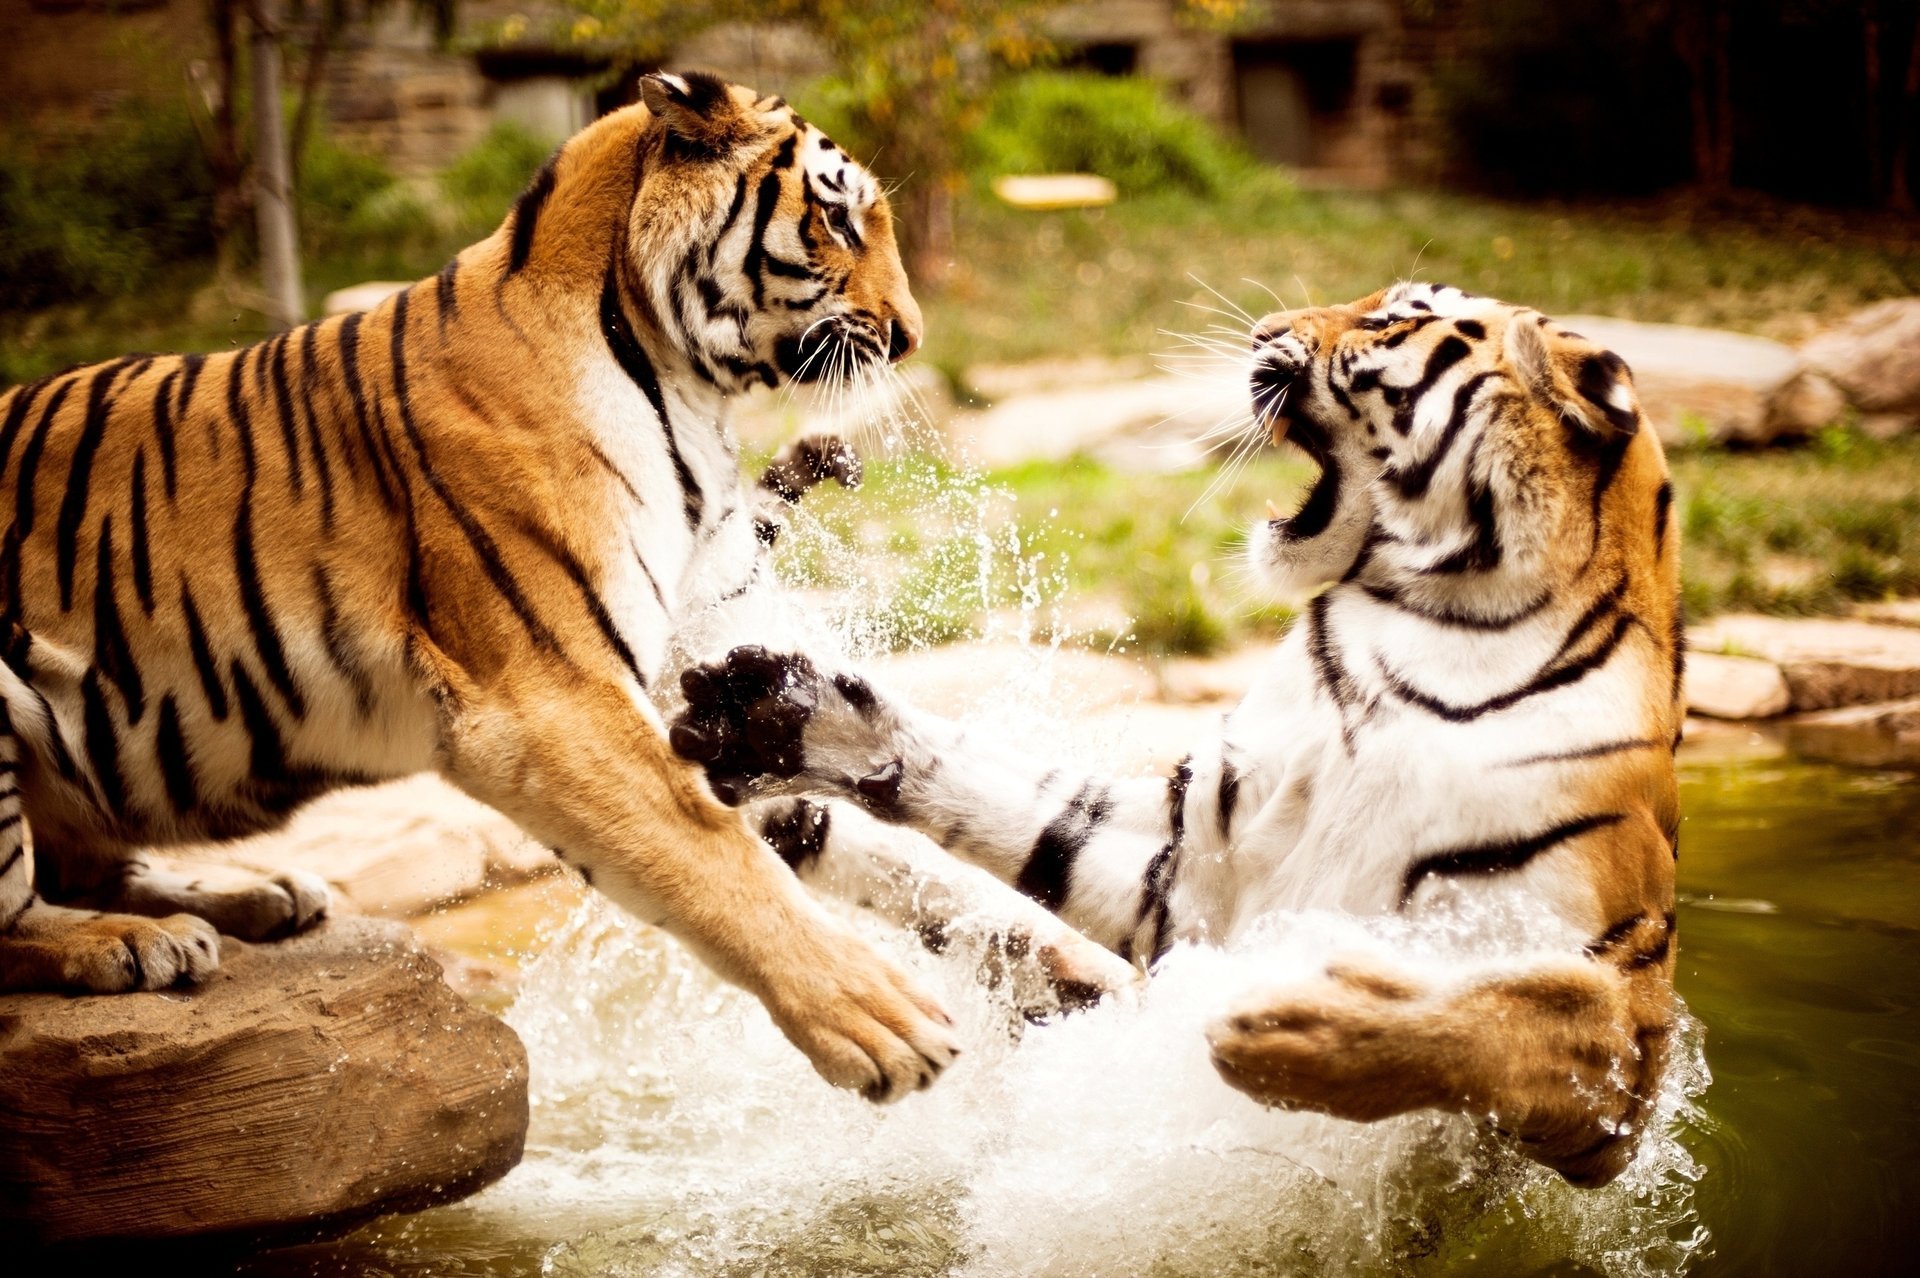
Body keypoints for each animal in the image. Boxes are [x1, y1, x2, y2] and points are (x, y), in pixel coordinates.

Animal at [0, 70, 966, 1104]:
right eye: (838, 219)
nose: (911, 338)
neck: (682, 383)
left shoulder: (684, 680)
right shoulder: (550, 697)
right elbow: (712, 853)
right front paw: (885, 1023)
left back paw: (257, 897)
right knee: (17, 913)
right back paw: (134, 943)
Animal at [669, 282, 1686, 1185]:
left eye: (1392, 317)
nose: (1263, 330)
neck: (1425, 636)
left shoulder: (1622, 1047)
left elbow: (1509, 1014)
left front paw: (1288, 1027)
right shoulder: (1189, 861)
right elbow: (1013, 801)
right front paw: (781, 714)